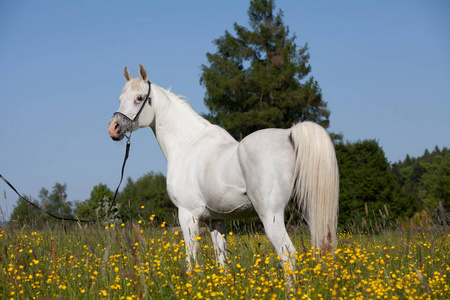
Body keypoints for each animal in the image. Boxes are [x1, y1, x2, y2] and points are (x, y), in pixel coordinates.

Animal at [107, 64, 338, 274]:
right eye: (120, 98)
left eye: (139, 98)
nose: (114, 128)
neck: (187, 144)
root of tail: (289, 134)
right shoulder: (216, 220)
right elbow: (221, 262)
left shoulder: (188, 215)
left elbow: (192, 261)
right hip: (308, 208)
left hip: (270, 214)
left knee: (287, 253)